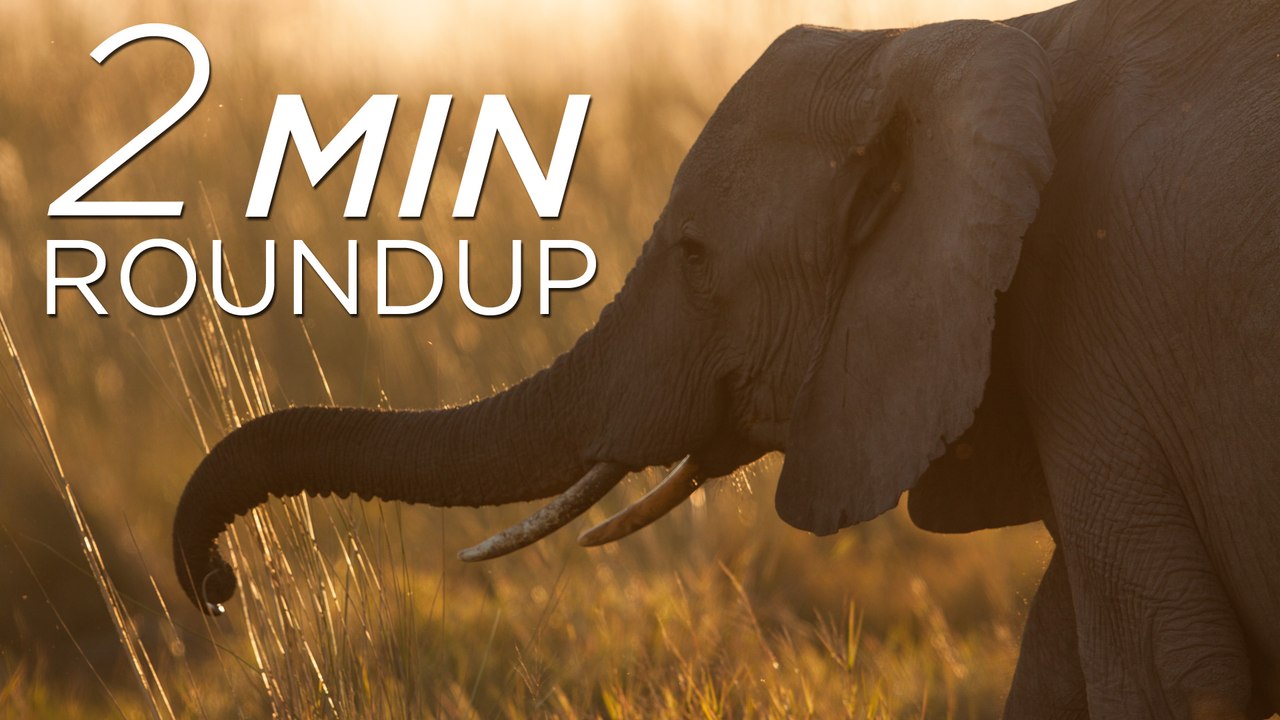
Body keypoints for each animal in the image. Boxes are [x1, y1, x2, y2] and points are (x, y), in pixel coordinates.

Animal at [172, 1, 1280, 717]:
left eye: (697, 260)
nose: (218, 583)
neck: (973, 42)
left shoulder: (1102, 342)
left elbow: (1163, 673)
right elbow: (1056, 665)